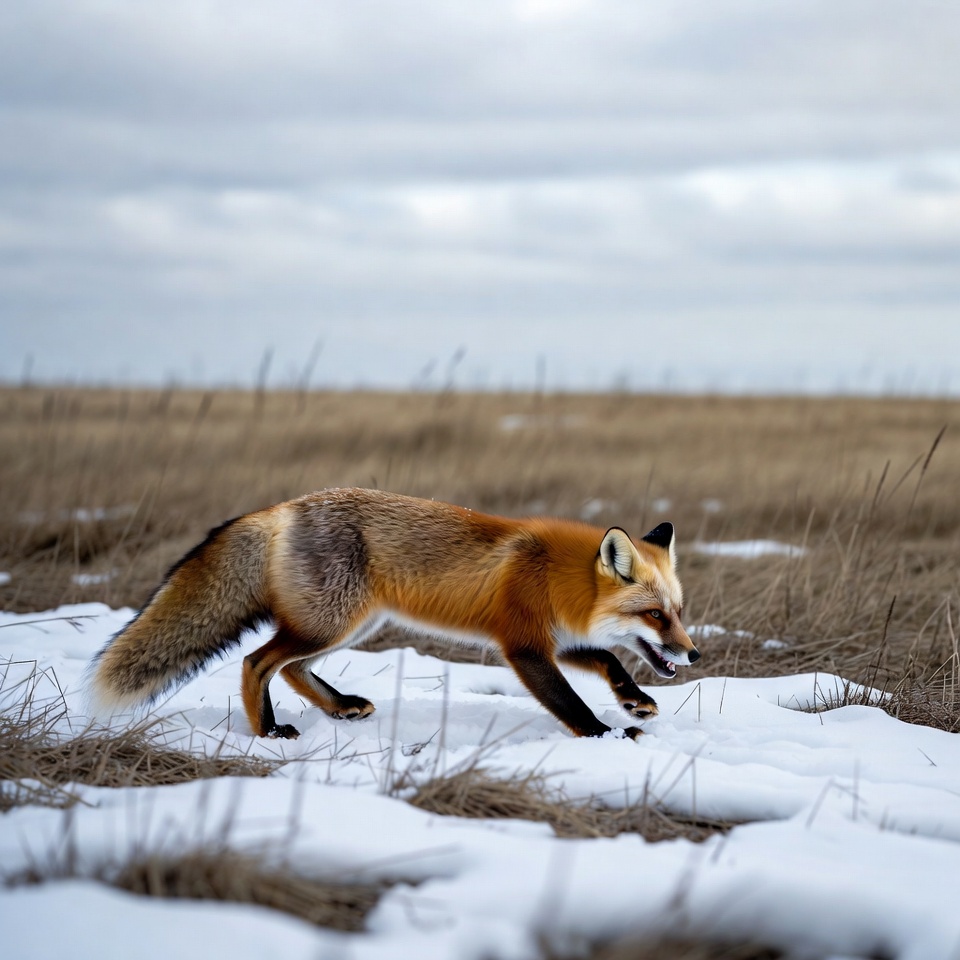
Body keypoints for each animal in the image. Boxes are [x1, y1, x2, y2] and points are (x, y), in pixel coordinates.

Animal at [90, 488, 700, 740]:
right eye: (655, 616)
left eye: (678, 612)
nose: (694, 654)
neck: (555, 574)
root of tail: (283, 507)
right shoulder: (525, 646)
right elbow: (569, 702)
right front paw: (607, 735)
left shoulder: (558, 639)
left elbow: (606, 659)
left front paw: (634, 700)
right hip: (332, 622)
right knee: (256, 662)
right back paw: (267, 732)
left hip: (351, 624)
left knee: (290, 667)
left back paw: (339, 707)